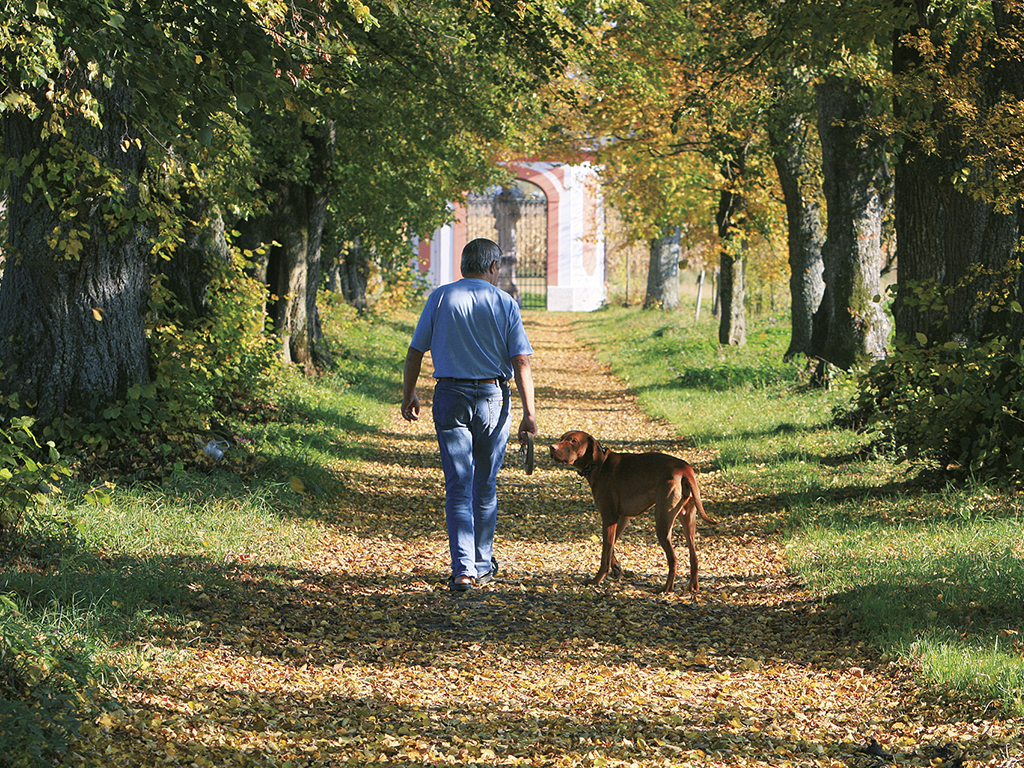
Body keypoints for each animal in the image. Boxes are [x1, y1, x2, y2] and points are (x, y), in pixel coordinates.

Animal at [552, 430, 712, 593]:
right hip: (688, 521)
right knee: (694, 557)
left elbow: (605, 553)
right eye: (561, 438)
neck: (598, 464)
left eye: (573, 441)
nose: (552, 447)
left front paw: (596, 580)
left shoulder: (609, 517)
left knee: (673, 559)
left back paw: (666, 589)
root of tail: (685, 470)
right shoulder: (622, 518)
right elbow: (611, 547)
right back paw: (693, 586)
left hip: (663, 522)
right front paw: (616, 567)